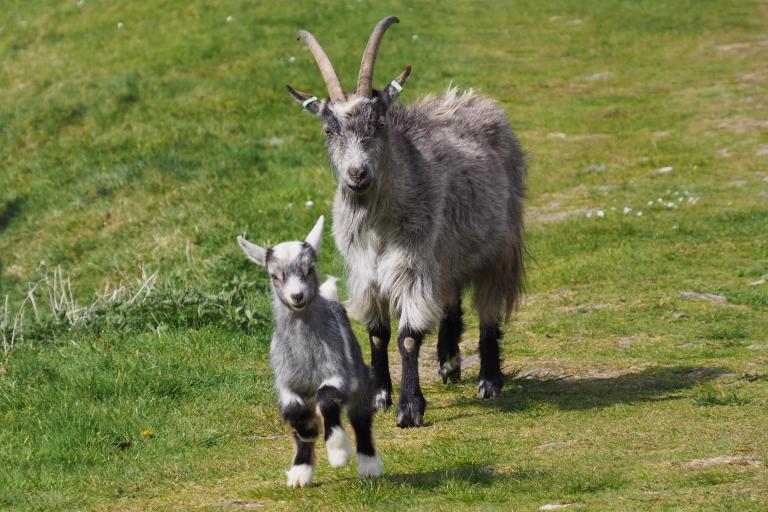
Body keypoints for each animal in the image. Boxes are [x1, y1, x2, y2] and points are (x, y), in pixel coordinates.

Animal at [237, 216, 383, 487]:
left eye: (309, 269)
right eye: (274, 275)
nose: (297, 296)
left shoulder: (338, 374)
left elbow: (326, 398)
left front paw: (338, 452)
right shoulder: (286, 384)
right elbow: (295, 414)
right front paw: (310, 431)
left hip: (360, 381)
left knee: (359, 419)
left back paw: (368, 466)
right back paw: (299, 473)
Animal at [286, 17, 526, 428]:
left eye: (380, 122)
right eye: (329, 129)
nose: (357, 174)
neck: (378, 225)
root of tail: (470, 99)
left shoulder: (413, 266)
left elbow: (408, 337)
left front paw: (410, 408)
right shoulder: (365, 272)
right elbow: (377, 334)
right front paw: (379, 395)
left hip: (499, 247)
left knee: (488, 311)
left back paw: (489, 380)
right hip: (448, 252)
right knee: (450, 297)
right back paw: (448, 362)